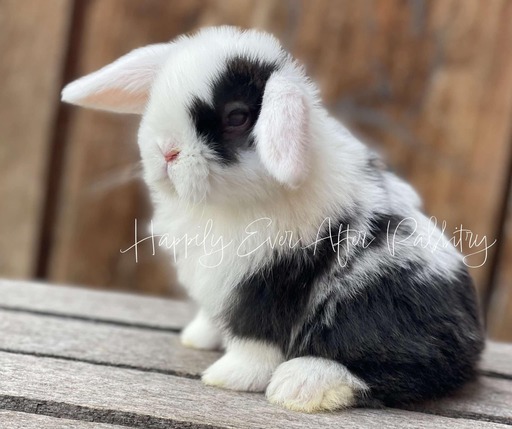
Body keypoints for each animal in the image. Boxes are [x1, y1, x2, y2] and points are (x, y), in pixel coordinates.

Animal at [62, 25, 486, 412]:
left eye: (236, 116)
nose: (166, 151)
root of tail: (473, 334)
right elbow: (214, 316)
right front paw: (197, 338)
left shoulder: (270, 281)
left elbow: (256, 338)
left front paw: (228, 376)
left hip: (381, 305)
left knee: (412, 366)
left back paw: (301, 385)